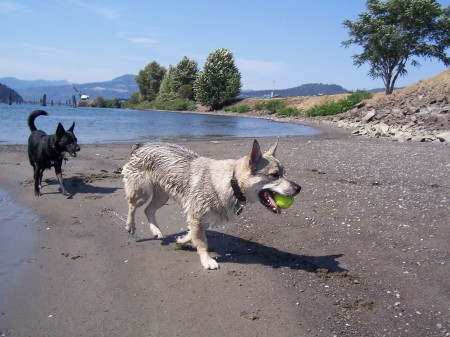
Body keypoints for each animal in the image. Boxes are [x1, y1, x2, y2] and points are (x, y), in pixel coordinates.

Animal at [121, 140, 300, 270]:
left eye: (284, 173)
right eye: (274, 175)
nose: (299, 188)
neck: (231, 182)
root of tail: (141, 146)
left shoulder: (202, 219)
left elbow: (193, 235)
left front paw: (182, 240)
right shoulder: (197, 217)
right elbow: (202, 242)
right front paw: (207, 260)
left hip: (162, 196)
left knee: (148, 210)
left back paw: (156, 231)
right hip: (142, 192)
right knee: (132, 205)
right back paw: (130, 226)